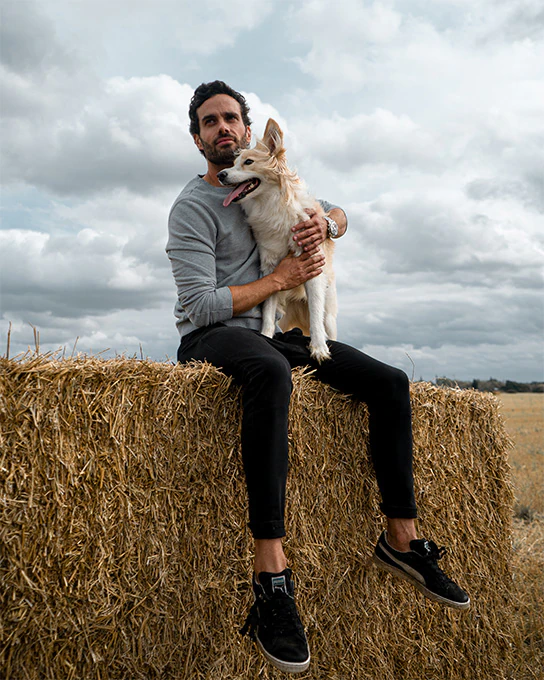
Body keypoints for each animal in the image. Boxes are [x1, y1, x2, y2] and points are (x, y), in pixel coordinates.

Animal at [217, 119, 336, 364]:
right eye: (233, 164)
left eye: (248, 162)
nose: (221, 175)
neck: (273, 205)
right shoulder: (272, 271)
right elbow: (268, 313)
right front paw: (266, 336)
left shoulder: (313, 268)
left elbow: (315, 314)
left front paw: (318, 347)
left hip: (330, 314)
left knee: (324, 320)